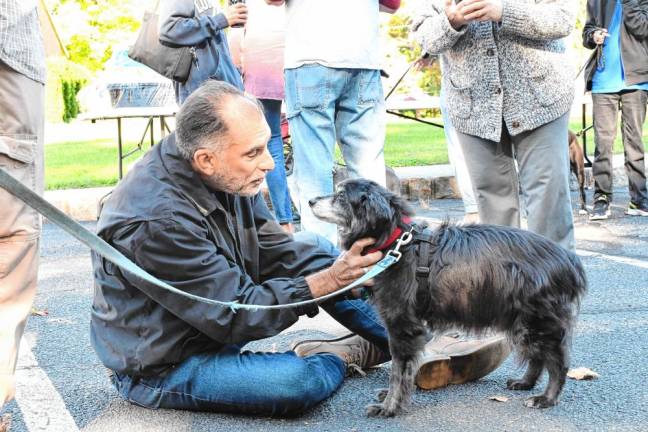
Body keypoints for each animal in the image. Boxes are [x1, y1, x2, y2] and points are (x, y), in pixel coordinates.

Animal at [308, 178, 588, 416]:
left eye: (341, 195)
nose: (310, 201)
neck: (396, 243)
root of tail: (570, 260)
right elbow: (405, 369)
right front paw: (391, 397)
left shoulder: (402, 325)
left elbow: (398, 370)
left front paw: (389, 406)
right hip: (523, 321)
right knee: (537, 356)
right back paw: (525, 382)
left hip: (538, 320)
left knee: (558, 361)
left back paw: (546, 398)